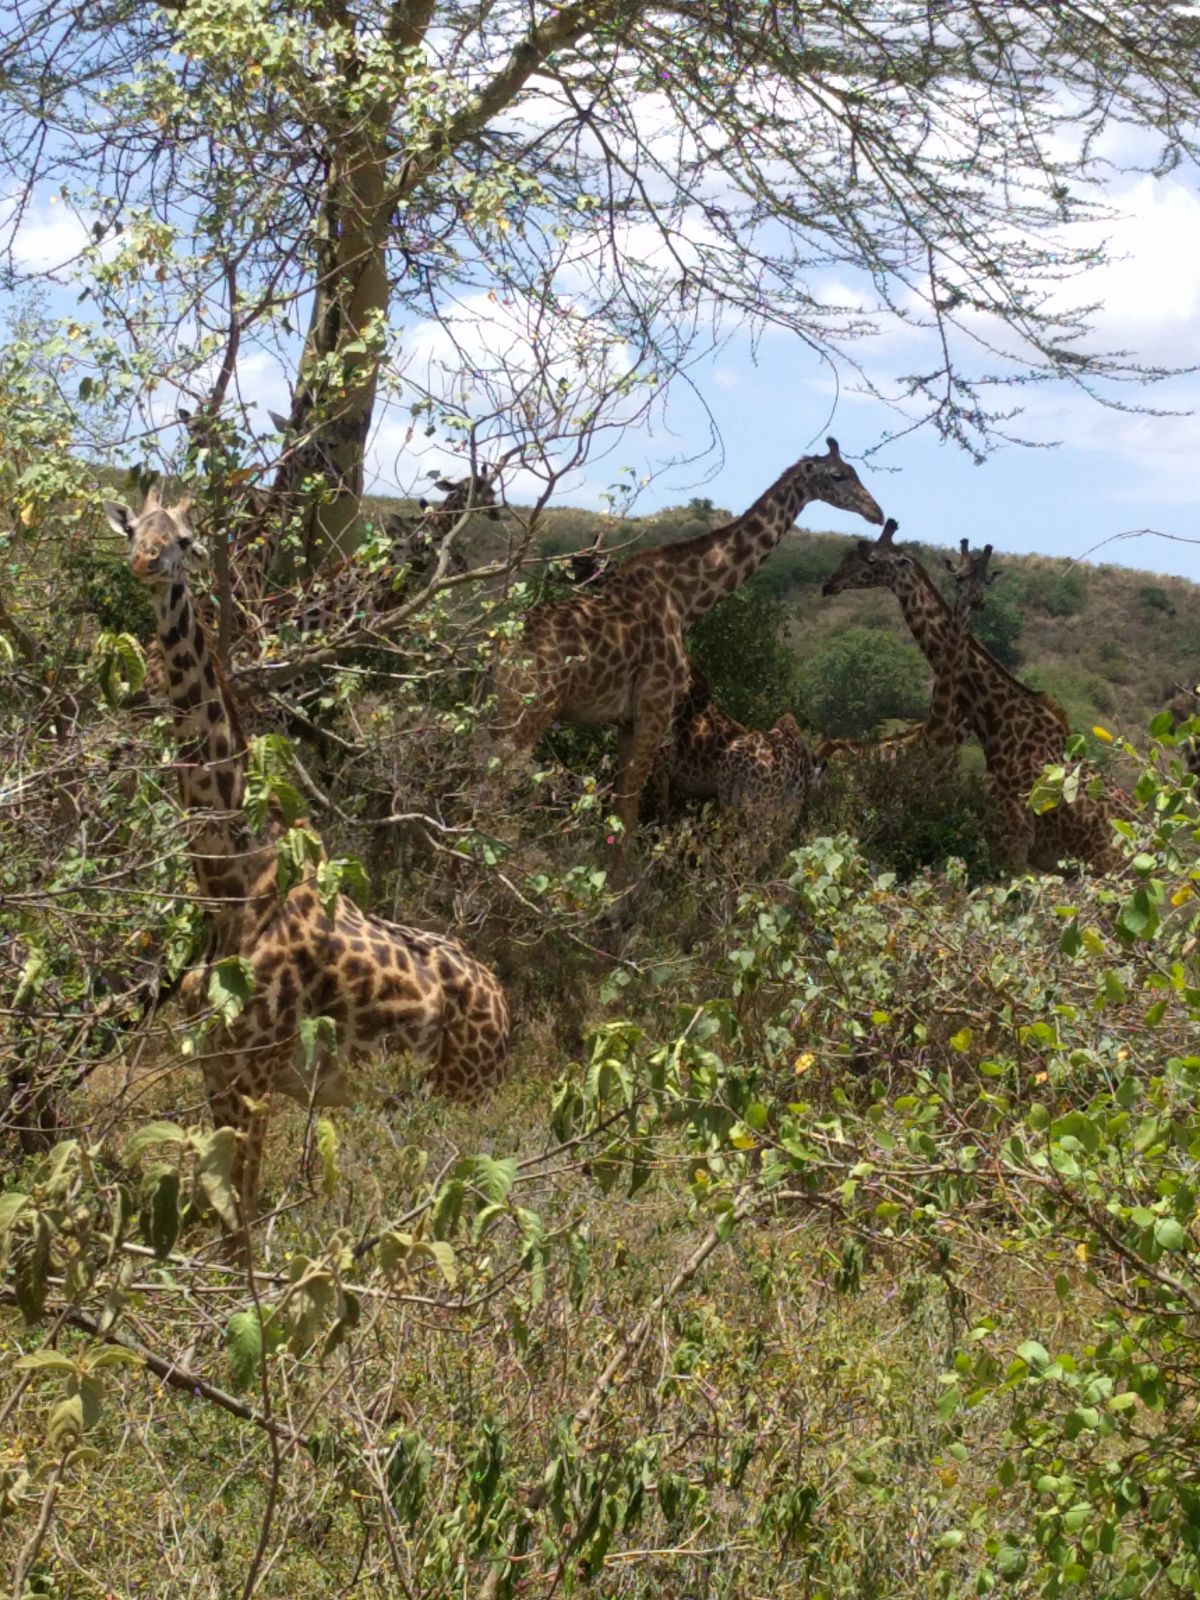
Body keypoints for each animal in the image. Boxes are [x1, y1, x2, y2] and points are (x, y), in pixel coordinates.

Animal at [104, 486, 512, 1222]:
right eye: (136, 531)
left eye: (184, 540)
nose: (146, 562)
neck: (228, 882)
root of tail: (504, 1004)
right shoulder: (214, 1063)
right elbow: (224, 1213)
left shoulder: (258, 1068)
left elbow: (242, 1216)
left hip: (469, 1088)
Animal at [489, 438, 883, 857]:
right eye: (838, 475)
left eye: (857, 472)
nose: (876, 513)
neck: (684, 601)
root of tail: (497, 648)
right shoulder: (654, 710)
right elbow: (629, 813)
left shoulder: (628, 721)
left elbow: (621, 809)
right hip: (529, 709)